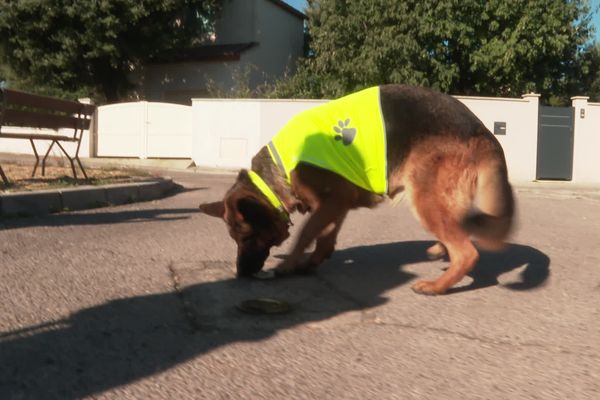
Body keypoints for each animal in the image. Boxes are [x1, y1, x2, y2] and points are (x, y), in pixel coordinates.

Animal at [199, 84, 512, 296]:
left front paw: (288, 264)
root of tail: (484, 132)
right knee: (457, 231)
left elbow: (306, 233)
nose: (241, 274)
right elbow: (325, 236)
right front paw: (313, 260)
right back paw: (438, 250)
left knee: (467, 252)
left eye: (246, 236)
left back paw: (436, 286)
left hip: (425, 199)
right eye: (234, 238)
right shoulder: (337, 204)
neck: (278, 172)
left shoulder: (332, 201)